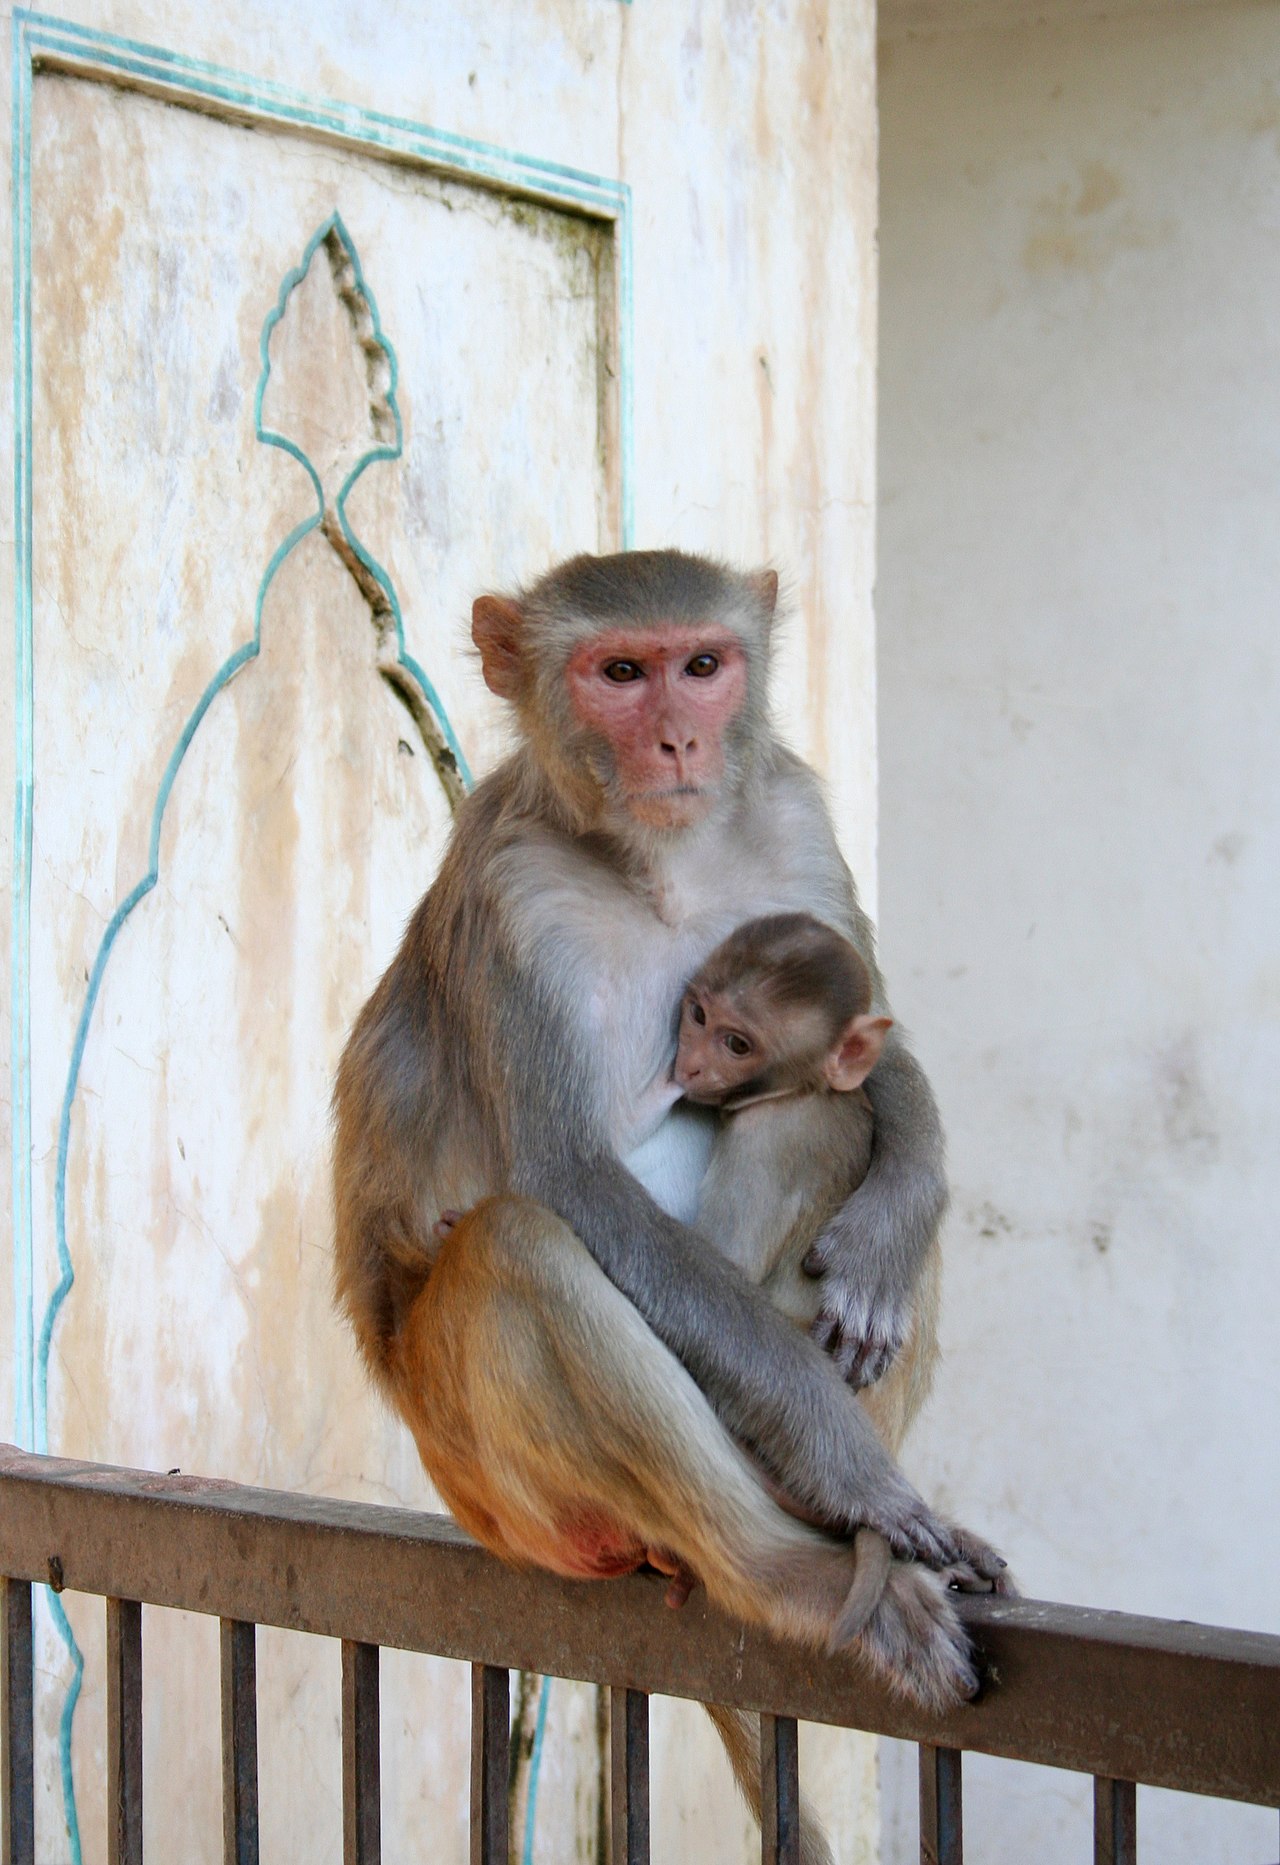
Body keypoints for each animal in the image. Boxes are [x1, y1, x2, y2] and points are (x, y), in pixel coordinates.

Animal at [332, 551, 1006, 1751]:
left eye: (701, 665)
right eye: (619, 673)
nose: (681, 741)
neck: (661, 860)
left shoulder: (791, 818)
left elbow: (869, 1057)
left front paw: (888, 1229)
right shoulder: (509, 886)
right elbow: (574, 1181)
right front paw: (847, 1462)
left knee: (825, 1121)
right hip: (507, 1496)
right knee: (517, 1247)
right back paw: (794, 1570)